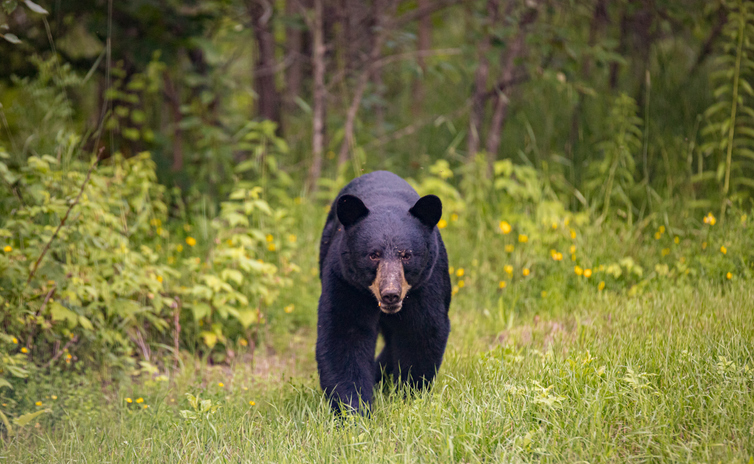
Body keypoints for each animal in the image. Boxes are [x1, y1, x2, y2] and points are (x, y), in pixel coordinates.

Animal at [314, 170, 450, 414]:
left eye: (406, 255)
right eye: (373, 255)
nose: (390, 294)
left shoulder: (426, 283)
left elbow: (421, 330)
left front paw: (409, 396)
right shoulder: (346, 281)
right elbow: (344, 335)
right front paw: (353, 409)